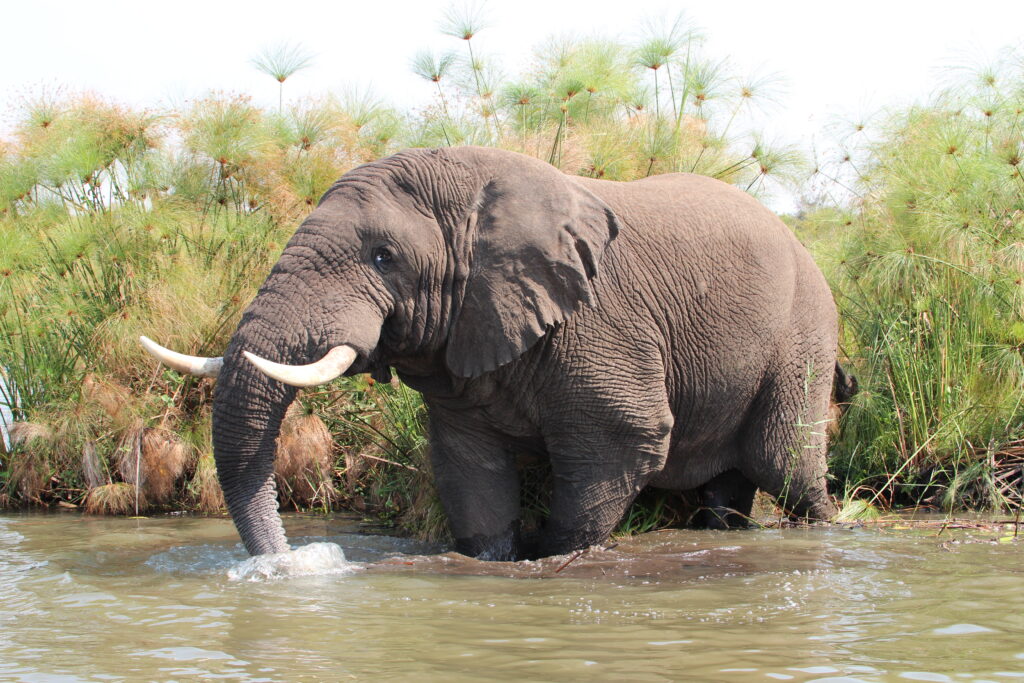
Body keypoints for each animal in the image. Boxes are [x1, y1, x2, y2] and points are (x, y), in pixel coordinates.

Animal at [141, 146, 840, 561]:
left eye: (383, 257)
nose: (290, 563)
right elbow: (469, 469)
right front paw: (491, 558)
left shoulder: (601, 321)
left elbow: (622, 442)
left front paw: (551, 558)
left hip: (805, 329)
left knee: (785, 464)